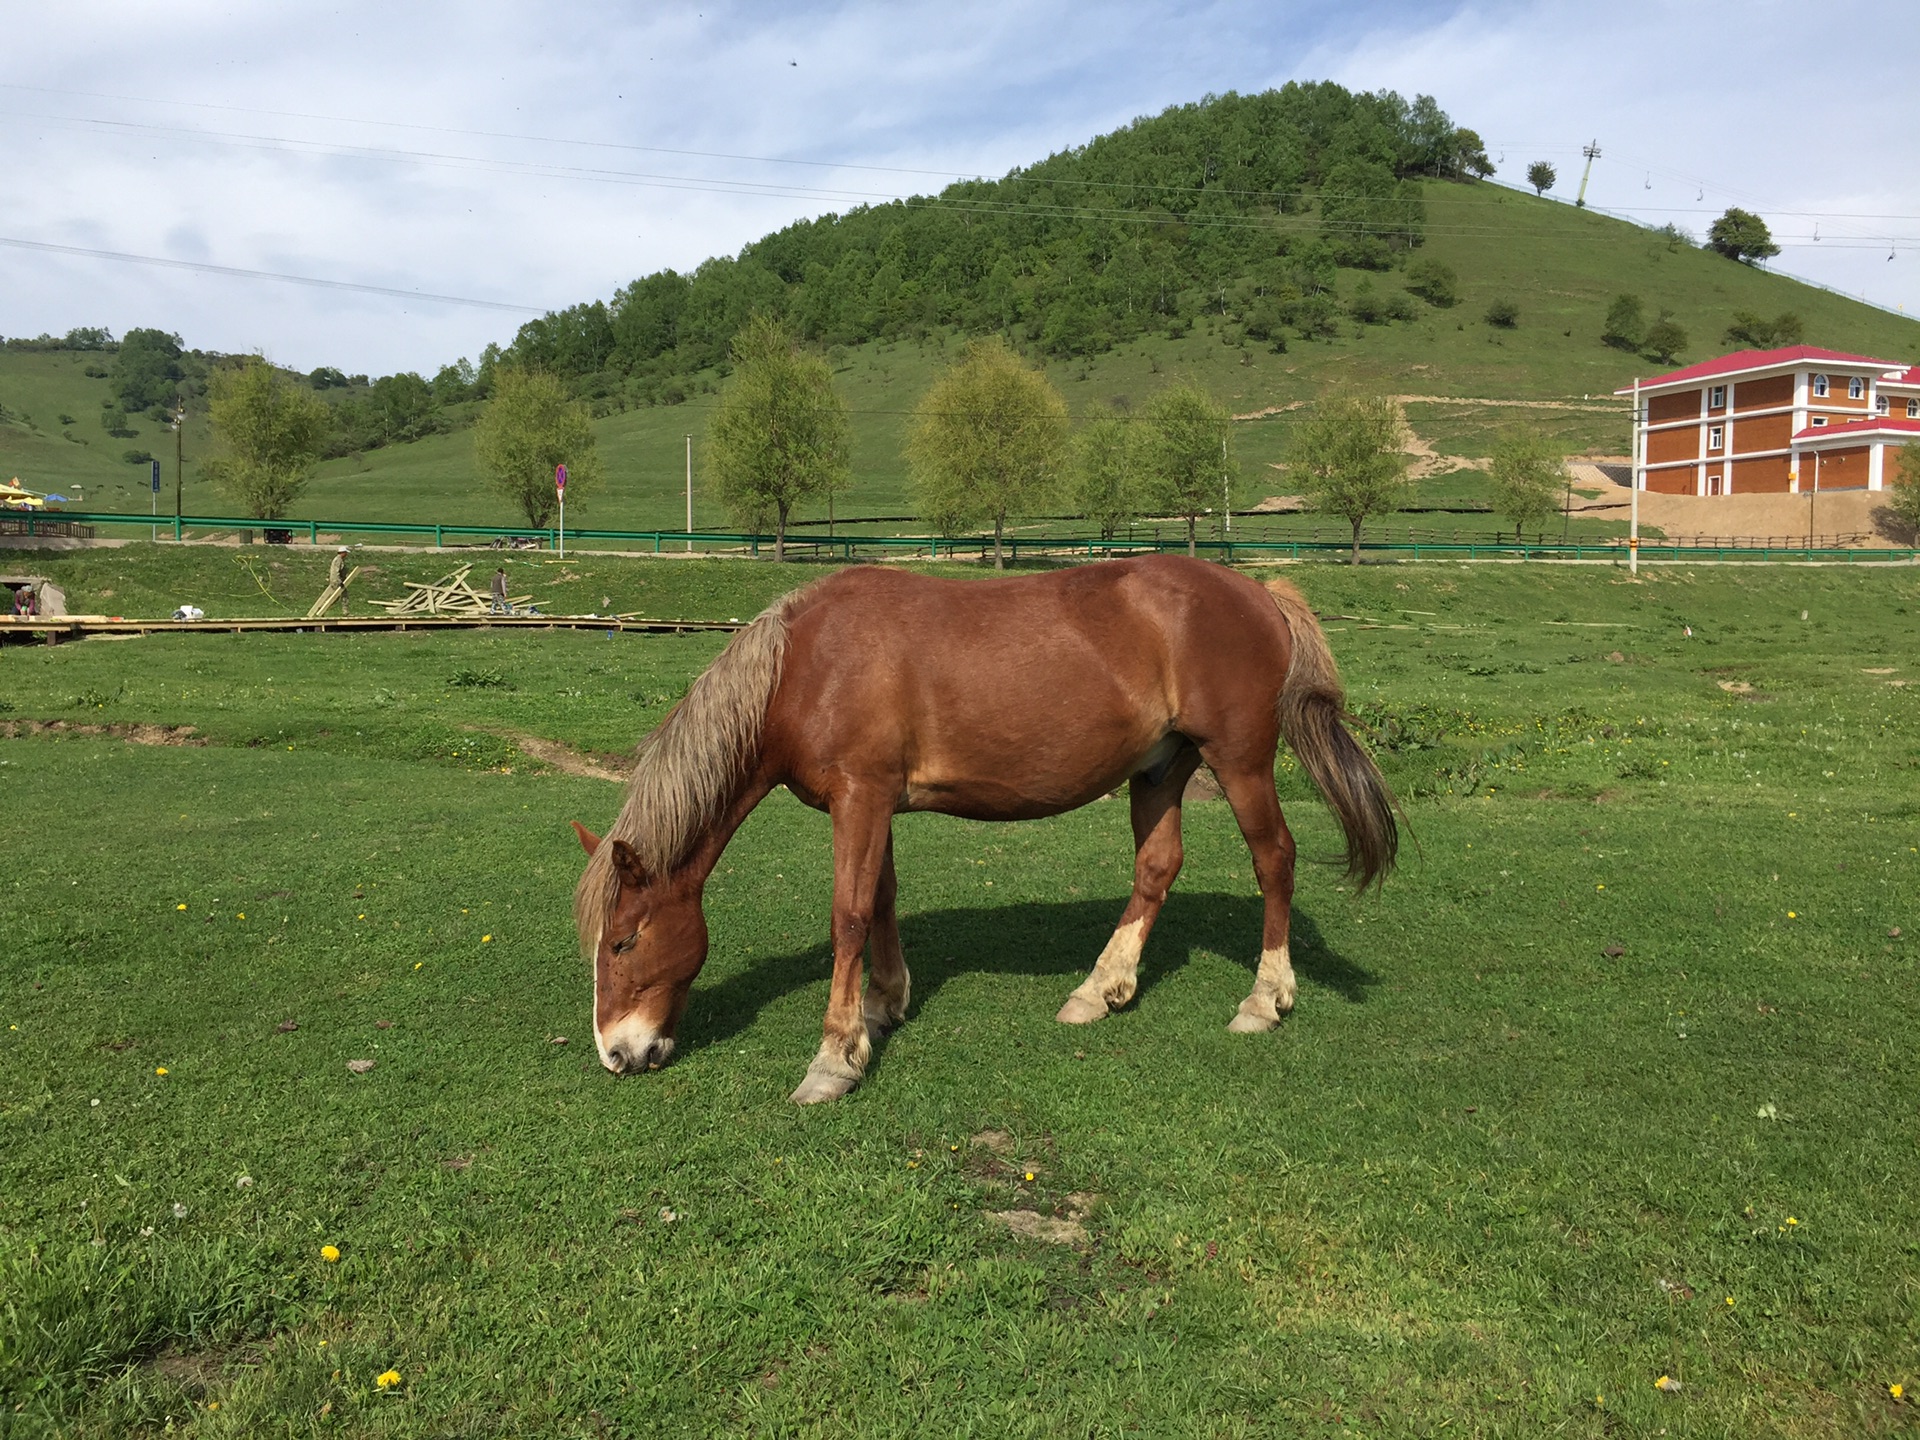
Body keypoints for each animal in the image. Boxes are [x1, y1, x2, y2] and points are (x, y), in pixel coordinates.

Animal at [568, 552, 1397, 1105]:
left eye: (624, 942)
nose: (615, 1053)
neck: (805, 667)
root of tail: (1260, 591)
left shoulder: (860, 797)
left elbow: (848, 914)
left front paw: (835, 1057)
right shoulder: (875, 804)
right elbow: (882, 901)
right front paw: (883, 1007)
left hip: (1241, 762)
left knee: (1275, 860)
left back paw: (1264, 999)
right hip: (1162, 768)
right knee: (1157, 867)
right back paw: (1100, 989)